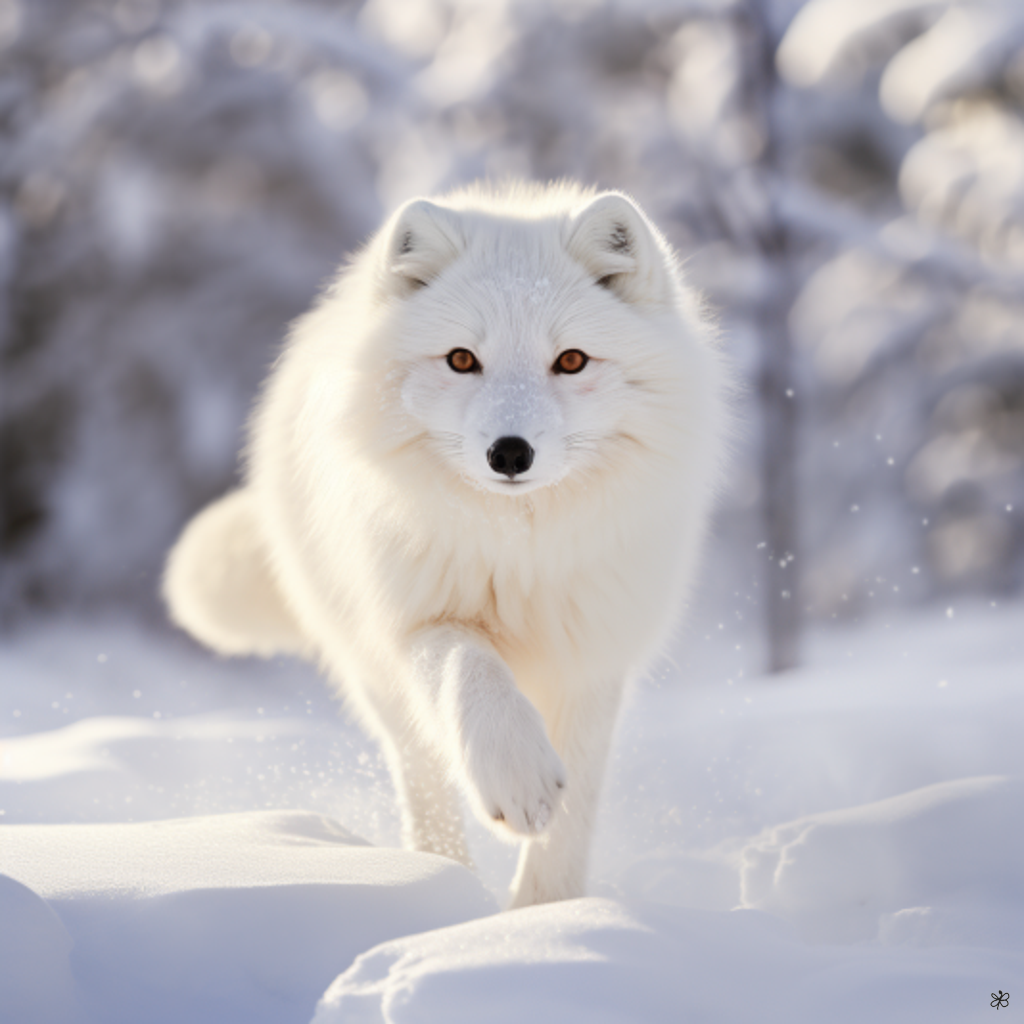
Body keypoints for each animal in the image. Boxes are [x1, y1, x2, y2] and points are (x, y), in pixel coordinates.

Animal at [163, 181, 728, 908]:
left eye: (571, 360)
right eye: (463, 360)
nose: (509, 453)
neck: (519, 554)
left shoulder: (593, 652)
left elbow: (574, 811)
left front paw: (549, 913)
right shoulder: (412, 620)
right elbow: (470, 665)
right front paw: (515, 781)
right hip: (373, 672)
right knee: (424, 778)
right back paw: (439, 884)